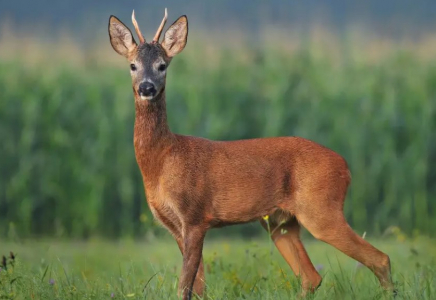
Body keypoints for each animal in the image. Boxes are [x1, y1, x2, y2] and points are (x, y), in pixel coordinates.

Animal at [109, 8, 396, 300]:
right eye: (132, 65)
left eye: (162, 65)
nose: (146, 88)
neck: (163, 160)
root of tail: (345, 166)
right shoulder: (175, 226)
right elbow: (197, 287)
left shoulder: (195, 216)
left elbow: (184, 285)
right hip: (280, 223)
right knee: (311, 277)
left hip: (321, 209)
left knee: (380, 258)